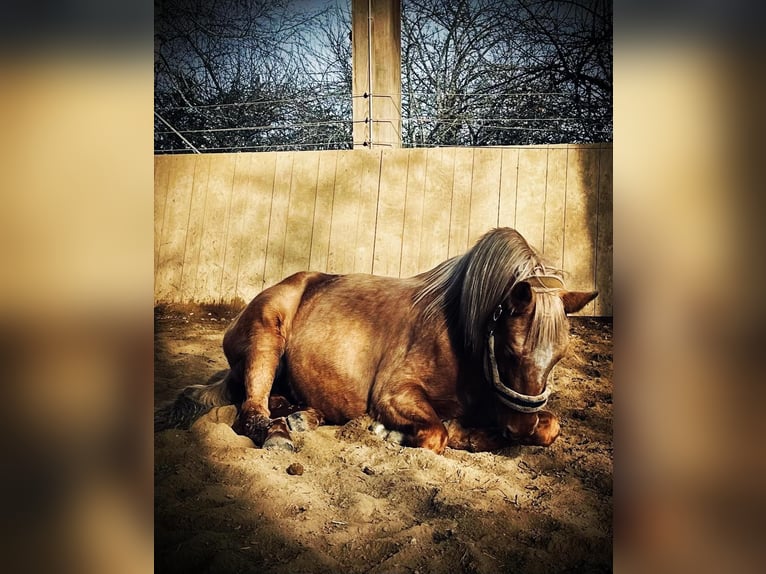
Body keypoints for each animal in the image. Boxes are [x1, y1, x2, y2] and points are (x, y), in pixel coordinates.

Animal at [156, 227, 597, 454]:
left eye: (559, 357)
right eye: (508, 350)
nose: (519, 426)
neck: (461, 340)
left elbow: (551, 426)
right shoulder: (394, 393)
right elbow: (436, 434)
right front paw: (396, 432)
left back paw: (302, 416)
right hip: (267, 337)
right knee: (251, 410)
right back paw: (280, 432)